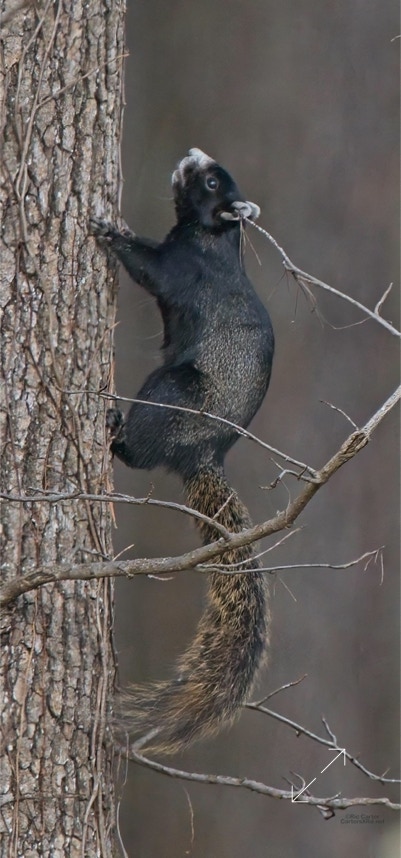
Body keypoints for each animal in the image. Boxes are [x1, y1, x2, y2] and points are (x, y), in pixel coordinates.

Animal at [90, 148, 275, 754]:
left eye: (213, 182)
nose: (193, 155)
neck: (212, 236)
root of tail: (204, 455)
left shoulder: (182, 269)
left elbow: (150, 269)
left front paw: (111, 232)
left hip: (171, 391)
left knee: (142, 453)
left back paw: (116, 430)